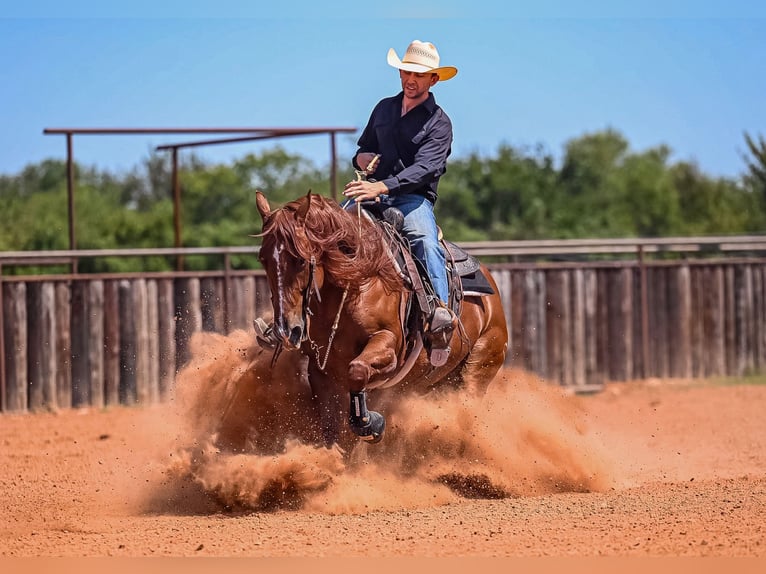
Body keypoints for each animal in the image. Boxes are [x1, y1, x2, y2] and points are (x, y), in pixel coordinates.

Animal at [255, 190, 508, 450]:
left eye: (301, 260)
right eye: (263, 259)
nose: (287, 331)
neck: (354, 281)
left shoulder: (388, 346)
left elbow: (357, 371)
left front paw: (370, 423)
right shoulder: (321, 372)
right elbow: (332, 429)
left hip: (479, 368)